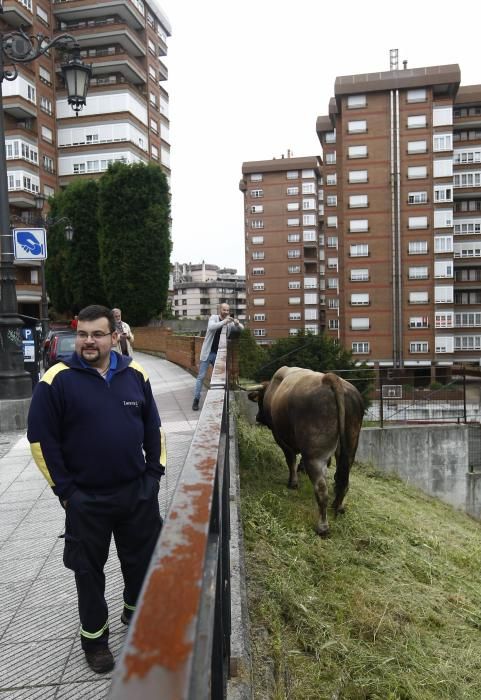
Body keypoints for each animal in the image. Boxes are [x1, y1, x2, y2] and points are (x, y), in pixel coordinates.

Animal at [248, 366, 364, 536]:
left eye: (259, 400)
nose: (257, 417)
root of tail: (329, 378)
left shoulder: (281, 438)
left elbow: (290, 459)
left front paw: (293, 482)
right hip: (349, 450)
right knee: (343, 480)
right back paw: (339, 506)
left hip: (315, 456)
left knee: (322, 490)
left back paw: (322, 527)